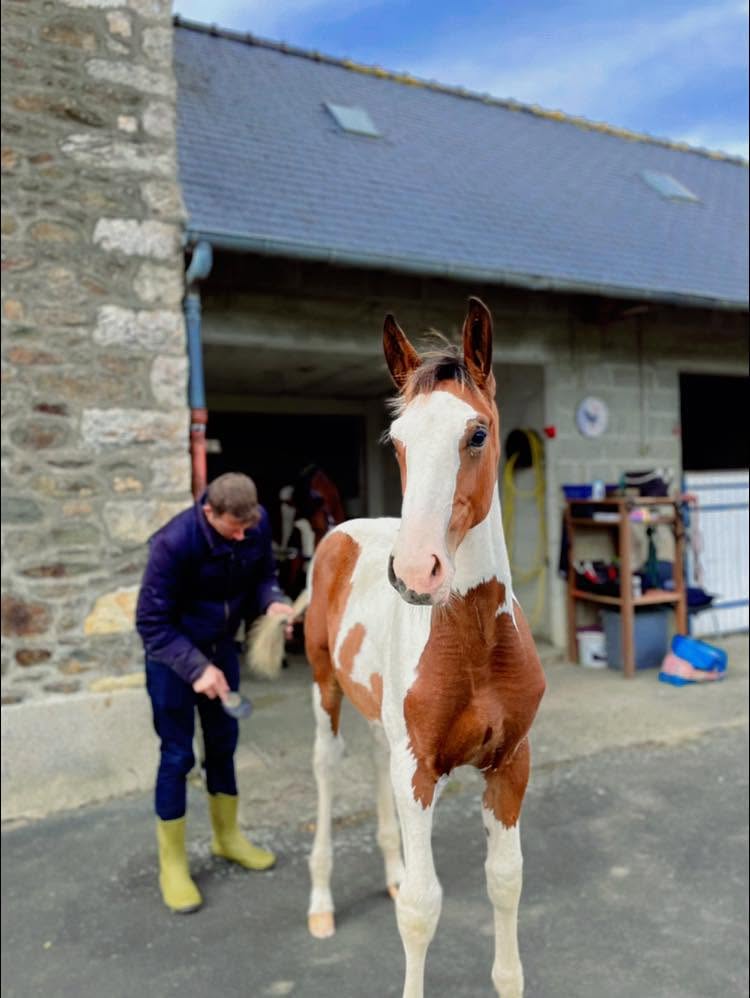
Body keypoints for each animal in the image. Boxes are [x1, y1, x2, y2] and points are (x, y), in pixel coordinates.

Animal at [303, 297, 546, 998]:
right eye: (397, 441)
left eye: (478, 434)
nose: (415, 571)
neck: (477, 646)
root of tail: (346, 531)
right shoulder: (418, 769)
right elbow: (420, 907)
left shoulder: (510, 763)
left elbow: (505, 882)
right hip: (325, 688)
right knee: (327, 769)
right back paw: (321, 904)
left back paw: (386, 870)